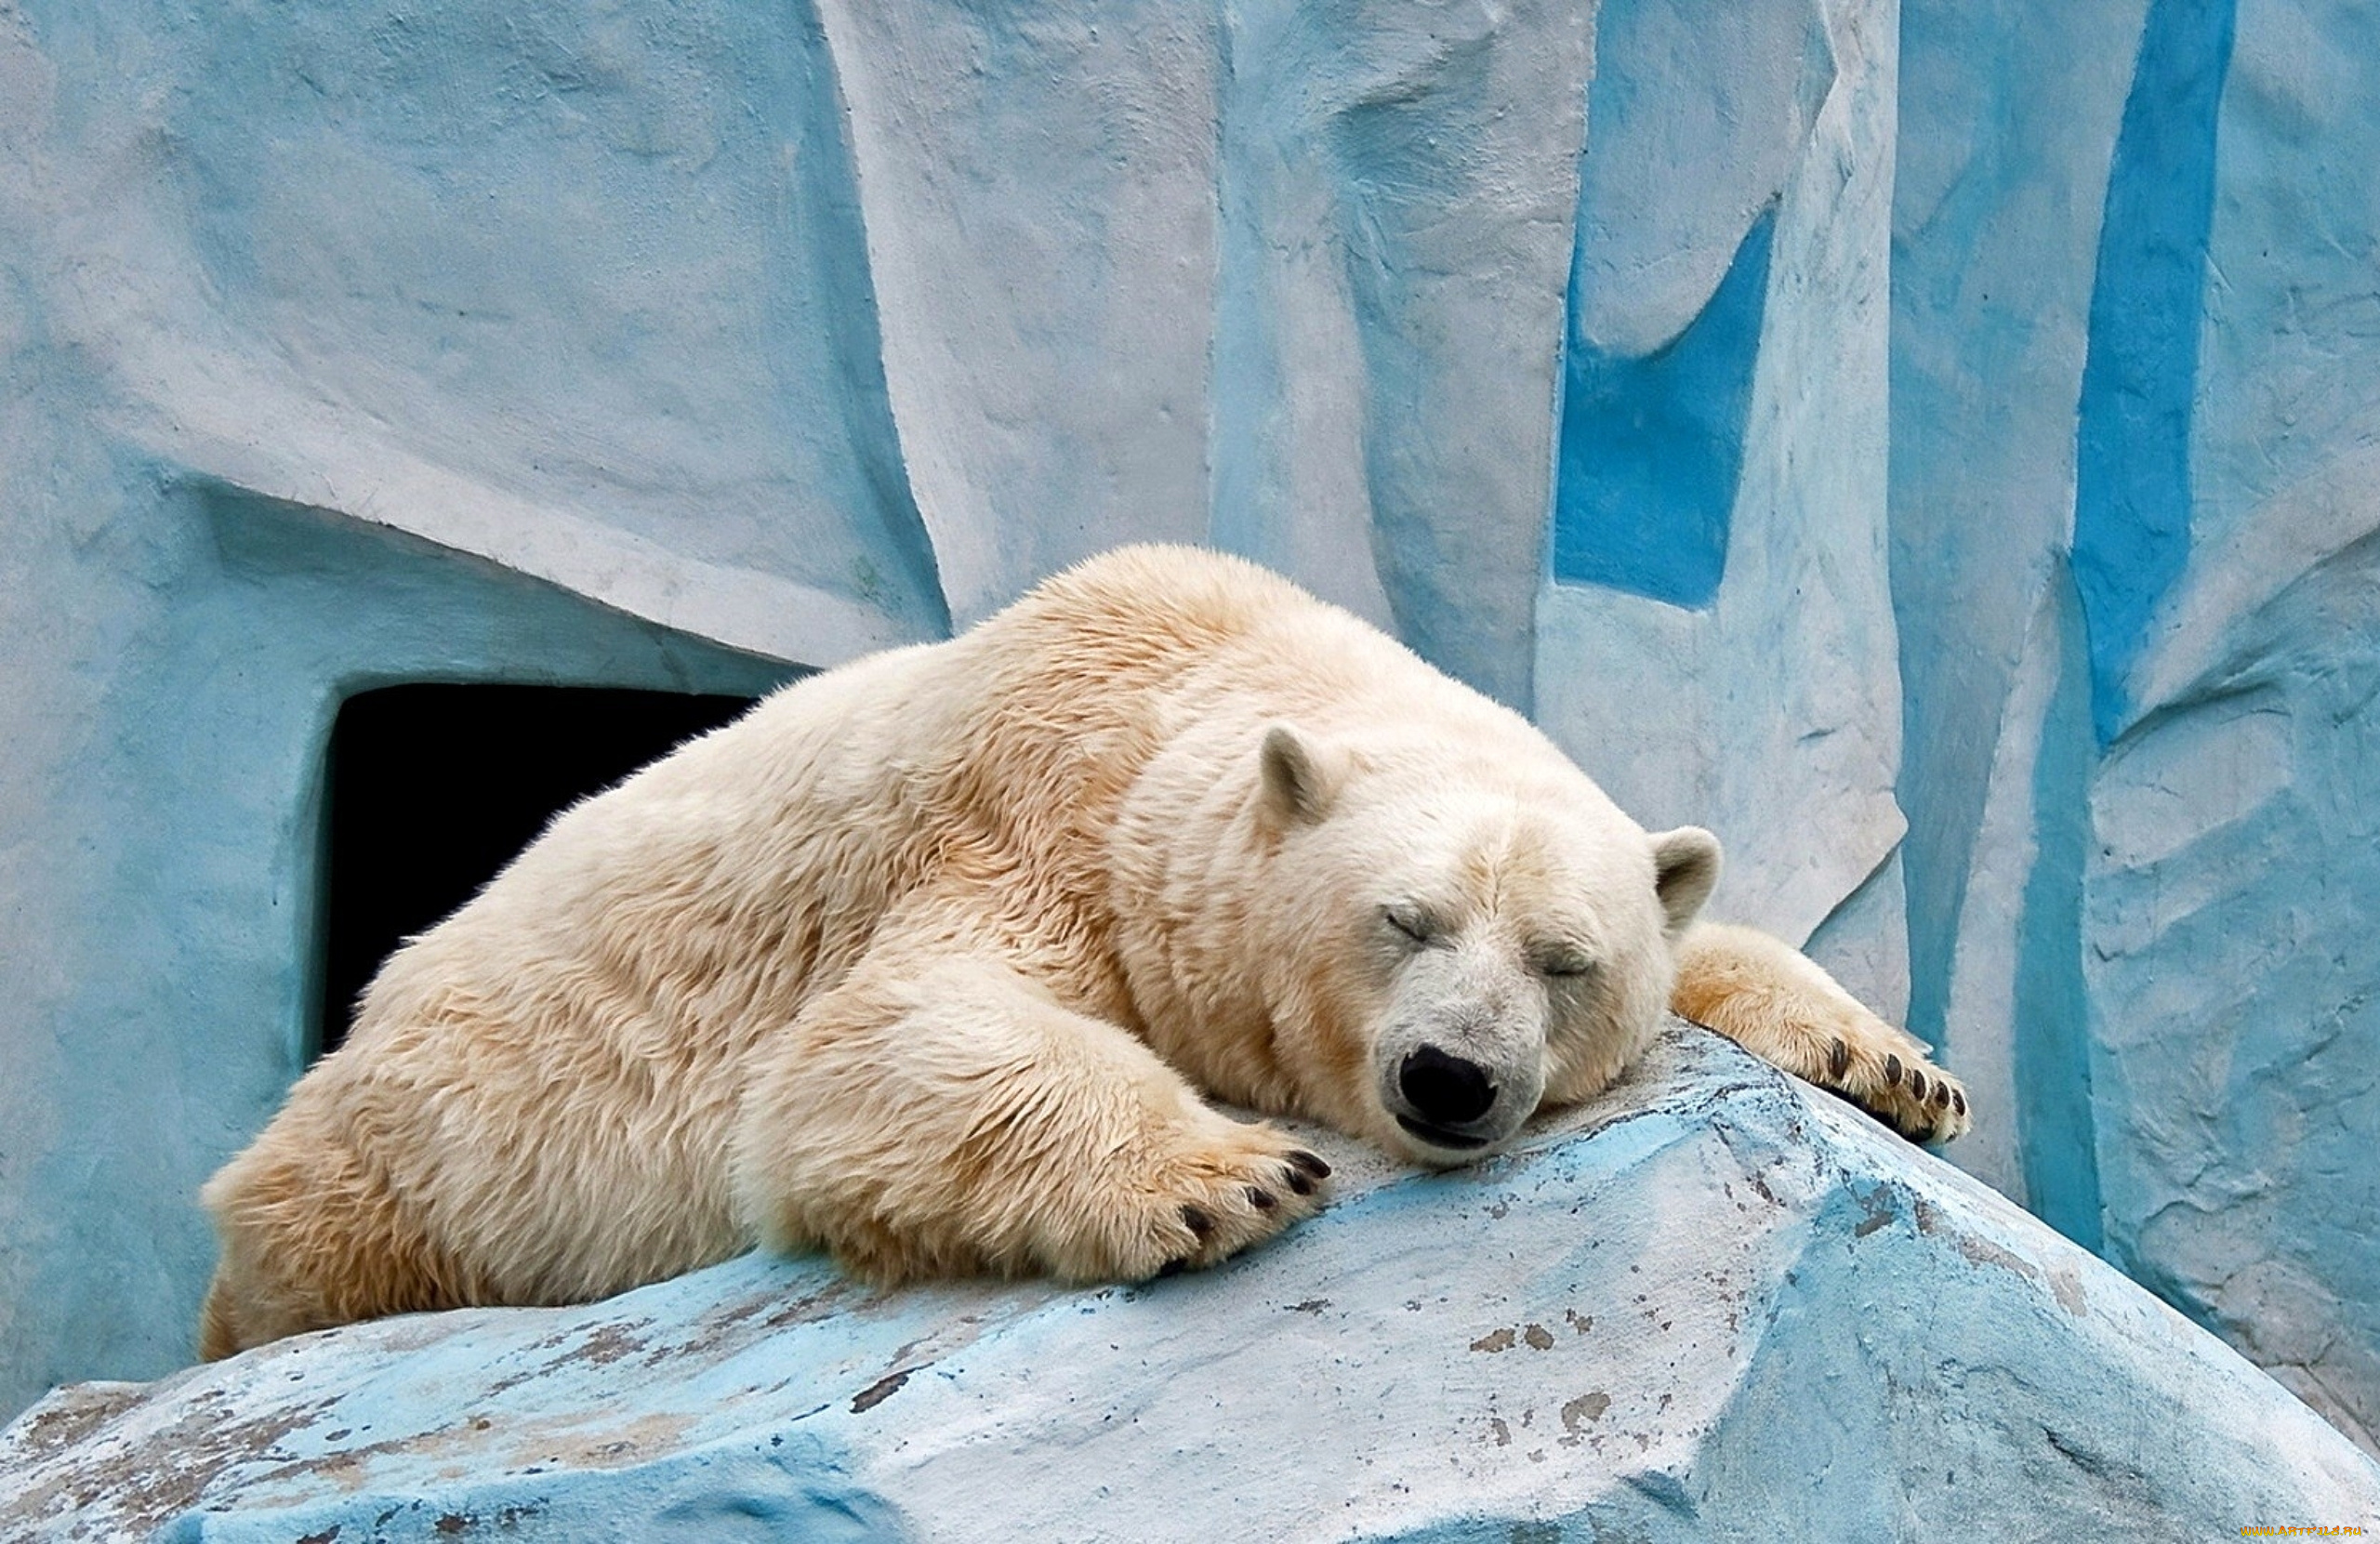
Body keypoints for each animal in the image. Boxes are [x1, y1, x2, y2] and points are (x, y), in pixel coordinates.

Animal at [194, 539, 1970, 1351]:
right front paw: (1226, 1175)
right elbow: (873, 1044)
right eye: (1402, 918)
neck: (1193, 671)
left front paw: (1896, 1065)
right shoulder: (1027, 818)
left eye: (1563, 957)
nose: (1452, 1081)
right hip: (405, 1166)